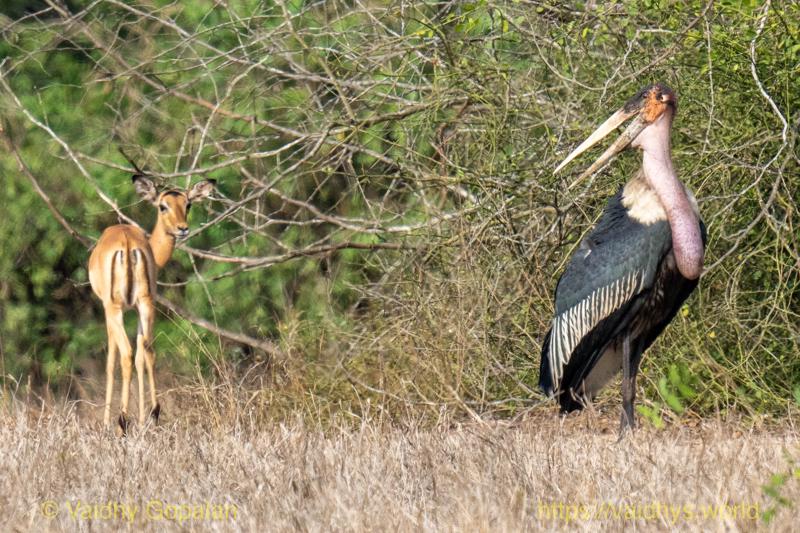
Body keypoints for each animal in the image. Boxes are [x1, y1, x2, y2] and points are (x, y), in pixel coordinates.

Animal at [88, 173, 215, 431]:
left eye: (188, 204)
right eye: (163, 205)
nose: (182, 229)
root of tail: (127, 244)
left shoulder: (108, 309)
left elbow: (111, 361)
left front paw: (107, 422)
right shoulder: (138, 308)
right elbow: (141, 356)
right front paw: (143, 417)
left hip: (116, 308)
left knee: (127, 354)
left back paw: (123, 421)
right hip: (146, 305)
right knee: (147, 351)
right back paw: (153, 413)